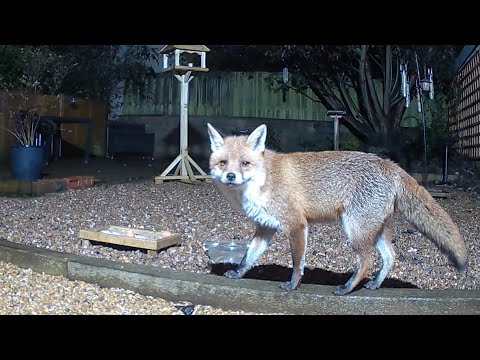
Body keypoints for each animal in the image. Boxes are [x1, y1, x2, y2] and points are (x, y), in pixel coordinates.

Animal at [207, 123, 468, 296]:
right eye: (223, 163)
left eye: (245, 163)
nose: (230, 176)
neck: (263, 179)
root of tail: (390, 164)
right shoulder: (265, 227)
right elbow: (248, 256)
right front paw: (238, 273)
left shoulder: (297, 224)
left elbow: (297, 262)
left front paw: (293, 285)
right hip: (373, 230)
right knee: (390, 256)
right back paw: (374, 284)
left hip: (354, 230)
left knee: (366, 261)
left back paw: (347, 287)